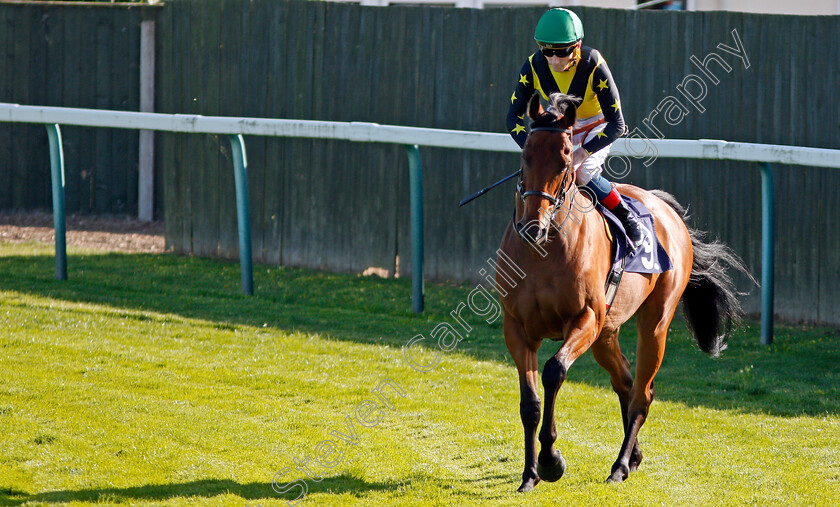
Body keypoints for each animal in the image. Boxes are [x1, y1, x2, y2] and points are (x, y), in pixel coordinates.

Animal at [496, 93, 752, 490]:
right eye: (526, 157)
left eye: (566, 158)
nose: (533, 227)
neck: (544, 249)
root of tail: (665, 208)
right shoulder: (517, 328)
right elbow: (530, 403)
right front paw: (529, 475)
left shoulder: (584, 318)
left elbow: (555, 372)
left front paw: (552, 461)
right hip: (606, 333)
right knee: (626, 382)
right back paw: (633, 457)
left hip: (653, 322)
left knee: (642, 393)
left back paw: (619, 466)